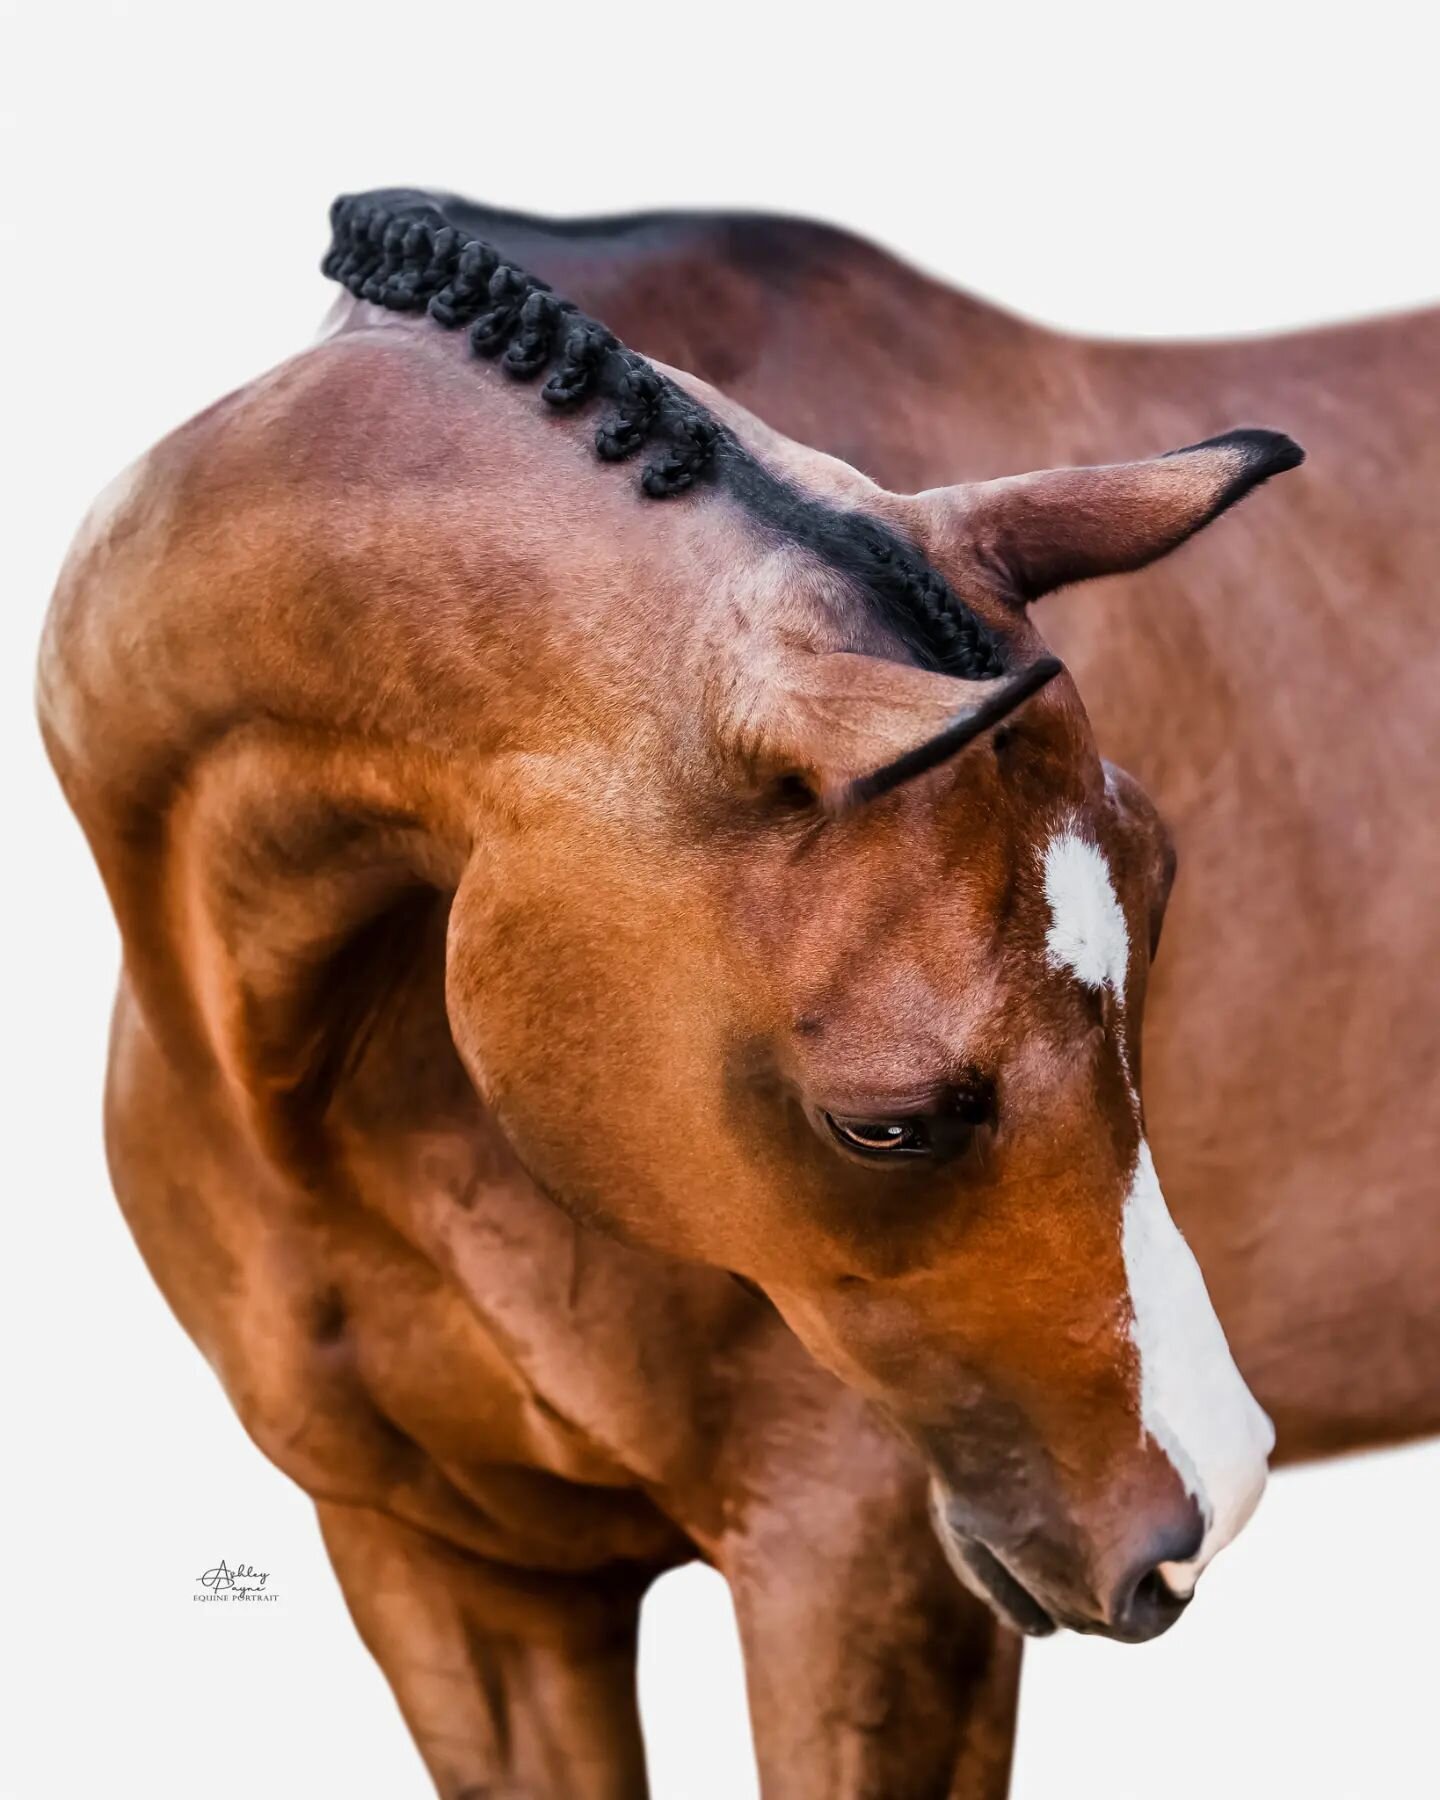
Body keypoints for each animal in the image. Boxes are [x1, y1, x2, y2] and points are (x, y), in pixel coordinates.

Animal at [39, 189, 1324, 1792]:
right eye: (885, 1123)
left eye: (1161, 923)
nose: (1208, 1504)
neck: (316, 1096)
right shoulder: (448, 1577)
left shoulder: (860, 1567)